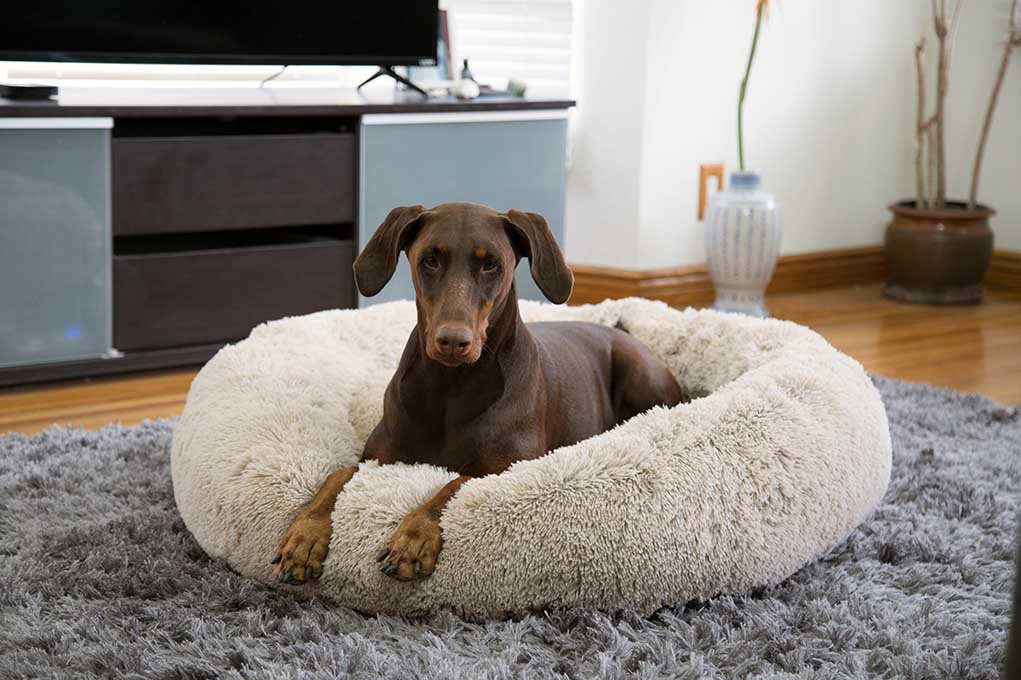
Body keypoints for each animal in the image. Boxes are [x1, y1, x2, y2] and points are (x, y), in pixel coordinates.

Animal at [273, 201, 686, 584]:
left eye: (492, 266)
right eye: (430, 260)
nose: (453, 341)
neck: (450, 387)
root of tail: (620, 330)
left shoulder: (510, 466)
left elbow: (455, 482)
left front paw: (414, 537)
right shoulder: (379, 458)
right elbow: (338, 474)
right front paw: (304, 537)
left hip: (639, 370)